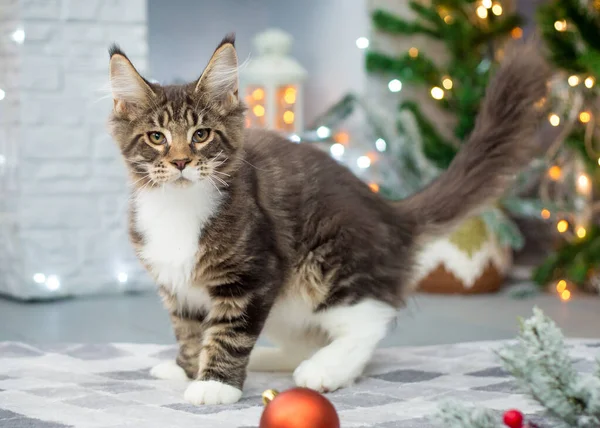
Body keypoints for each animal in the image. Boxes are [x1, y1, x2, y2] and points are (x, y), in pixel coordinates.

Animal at [106, 34, 548, 404]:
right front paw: (187, 368)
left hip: (326, 266)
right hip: (287, 304)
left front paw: (214, 385)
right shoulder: (177, 287)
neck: (177, 207)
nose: (181, 162)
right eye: (156, 138)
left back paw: (325, 369)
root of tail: (389, 211)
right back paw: (269, 359)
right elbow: (190, 331)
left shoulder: (253, 274)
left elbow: (229, 332)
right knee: (305, 339)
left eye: (201, 135)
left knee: (373, 318)